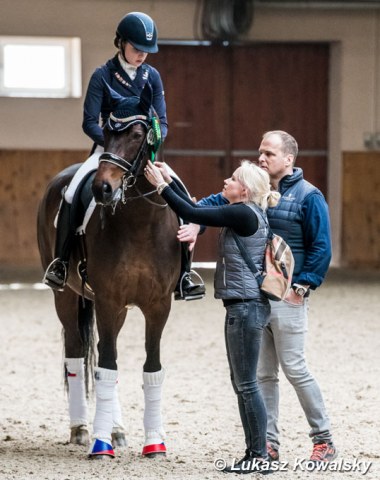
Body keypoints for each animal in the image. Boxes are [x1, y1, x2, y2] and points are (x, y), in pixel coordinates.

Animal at [37, 82, 181, 458]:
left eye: (137, 135)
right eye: (105, 133)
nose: (103, 188)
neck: (140, 223)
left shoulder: (158, 305)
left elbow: (150, 368)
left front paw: (154, 442)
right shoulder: (108, 299)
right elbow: (107, 366)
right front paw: (100, 444)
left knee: (103, 351)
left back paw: (117, 431)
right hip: (66, 296)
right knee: (78, 355)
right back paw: (83, 430)